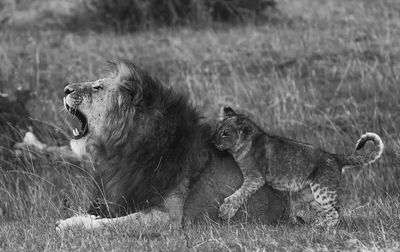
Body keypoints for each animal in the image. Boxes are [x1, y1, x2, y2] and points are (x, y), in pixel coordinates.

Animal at [55, 60, 288, 231]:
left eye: (98, 87)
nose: (65, 89)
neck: (122, 150)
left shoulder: (169, 217)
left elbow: (113, 224)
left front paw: (74, 226)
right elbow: (97, 214)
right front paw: (72, 220)